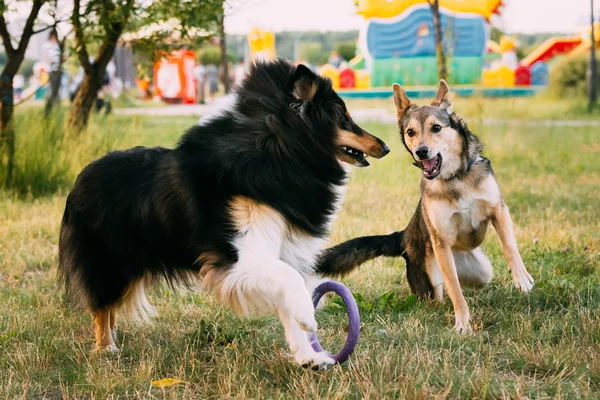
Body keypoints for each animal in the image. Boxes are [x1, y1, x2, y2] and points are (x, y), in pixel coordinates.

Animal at [318, 79, 536, 332]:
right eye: (411, 132)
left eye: (436, 128)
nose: (421, 152)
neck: (454, 177)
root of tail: (403, 236)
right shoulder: (441, 242)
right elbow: (455, 288)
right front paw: (463, 322)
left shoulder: (498, 211)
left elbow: (510, 246)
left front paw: (521, 277)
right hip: (432, 279)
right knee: (441, 294)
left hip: (481, 271)